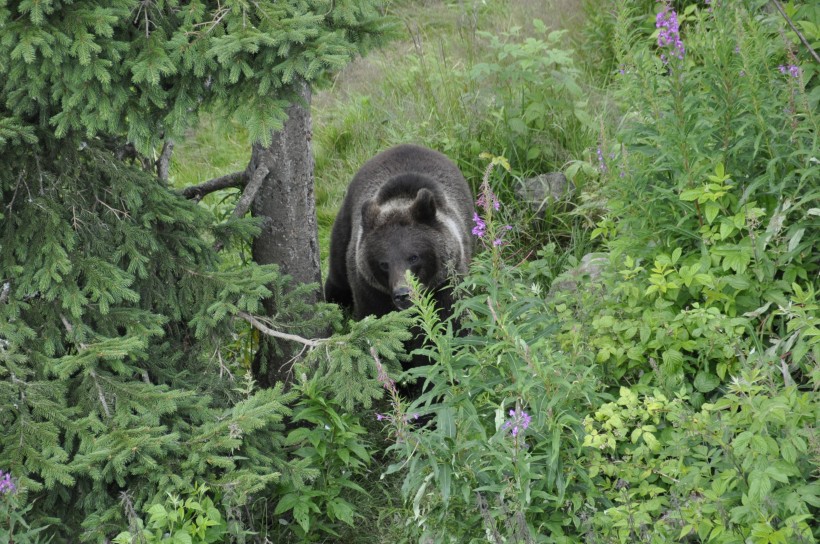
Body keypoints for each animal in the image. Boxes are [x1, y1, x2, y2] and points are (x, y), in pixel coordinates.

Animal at [322, 146, 470, 324]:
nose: (403, 294)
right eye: (383, 264)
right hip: (344, 226)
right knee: (338, 276)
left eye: (414, 257)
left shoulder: (447, 281)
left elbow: (452, 316)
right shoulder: (369, 289)